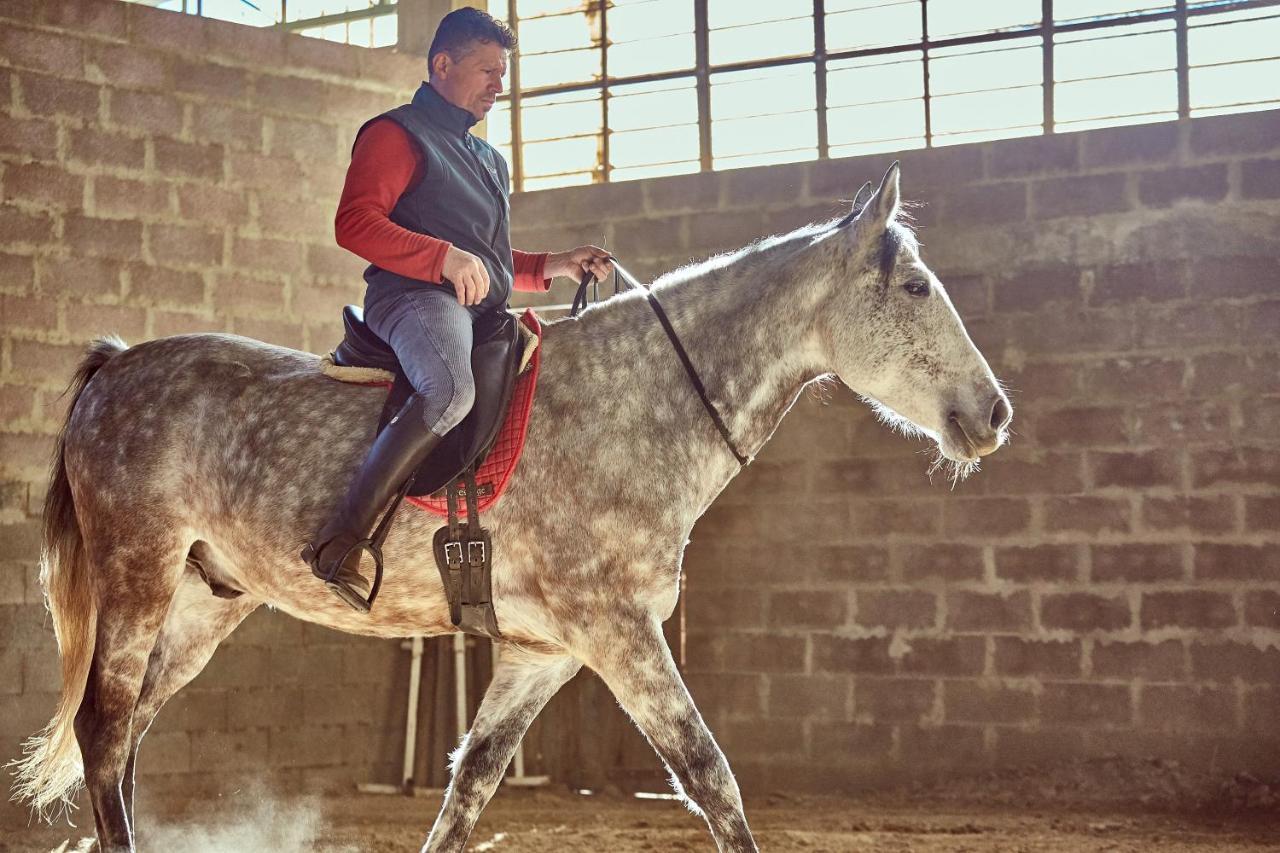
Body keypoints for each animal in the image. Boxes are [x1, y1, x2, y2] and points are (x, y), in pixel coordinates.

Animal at [12, 166, 1008, 850]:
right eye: (916, 288)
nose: (994, 412)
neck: (635, 400)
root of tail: (117, 366)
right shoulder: (618, 634)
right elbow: (709, 776)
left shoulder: (545, 653)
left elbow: (470, 787)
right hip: (138, 572)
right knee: (104, 726)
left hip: (204, 601)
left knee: (128, 735)